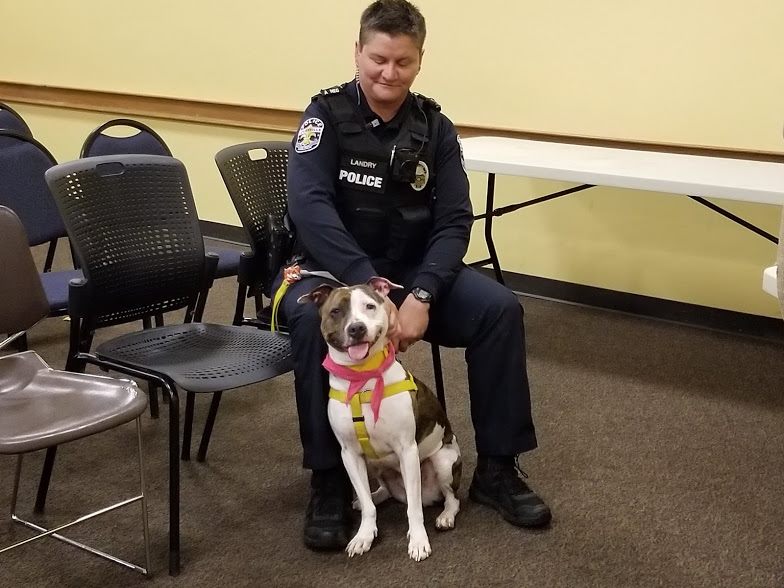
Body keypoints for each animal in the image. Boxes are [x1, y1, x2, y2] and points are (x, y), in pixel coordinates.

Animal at [298, 278, 460, 564]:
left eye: (369, 306)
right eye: (336, 311)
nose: (356, 328)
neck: (361, 379)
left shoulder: (407, 450)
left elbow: (414, 510)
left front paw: (418, 540)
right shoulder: (349, 454)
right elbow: (367, 505)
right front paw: (364, 535)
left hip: (443, 462)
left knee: (450, 499)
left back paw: (445, 516)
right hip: (375, 466)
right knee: (381, 493)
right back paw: (372, 498)